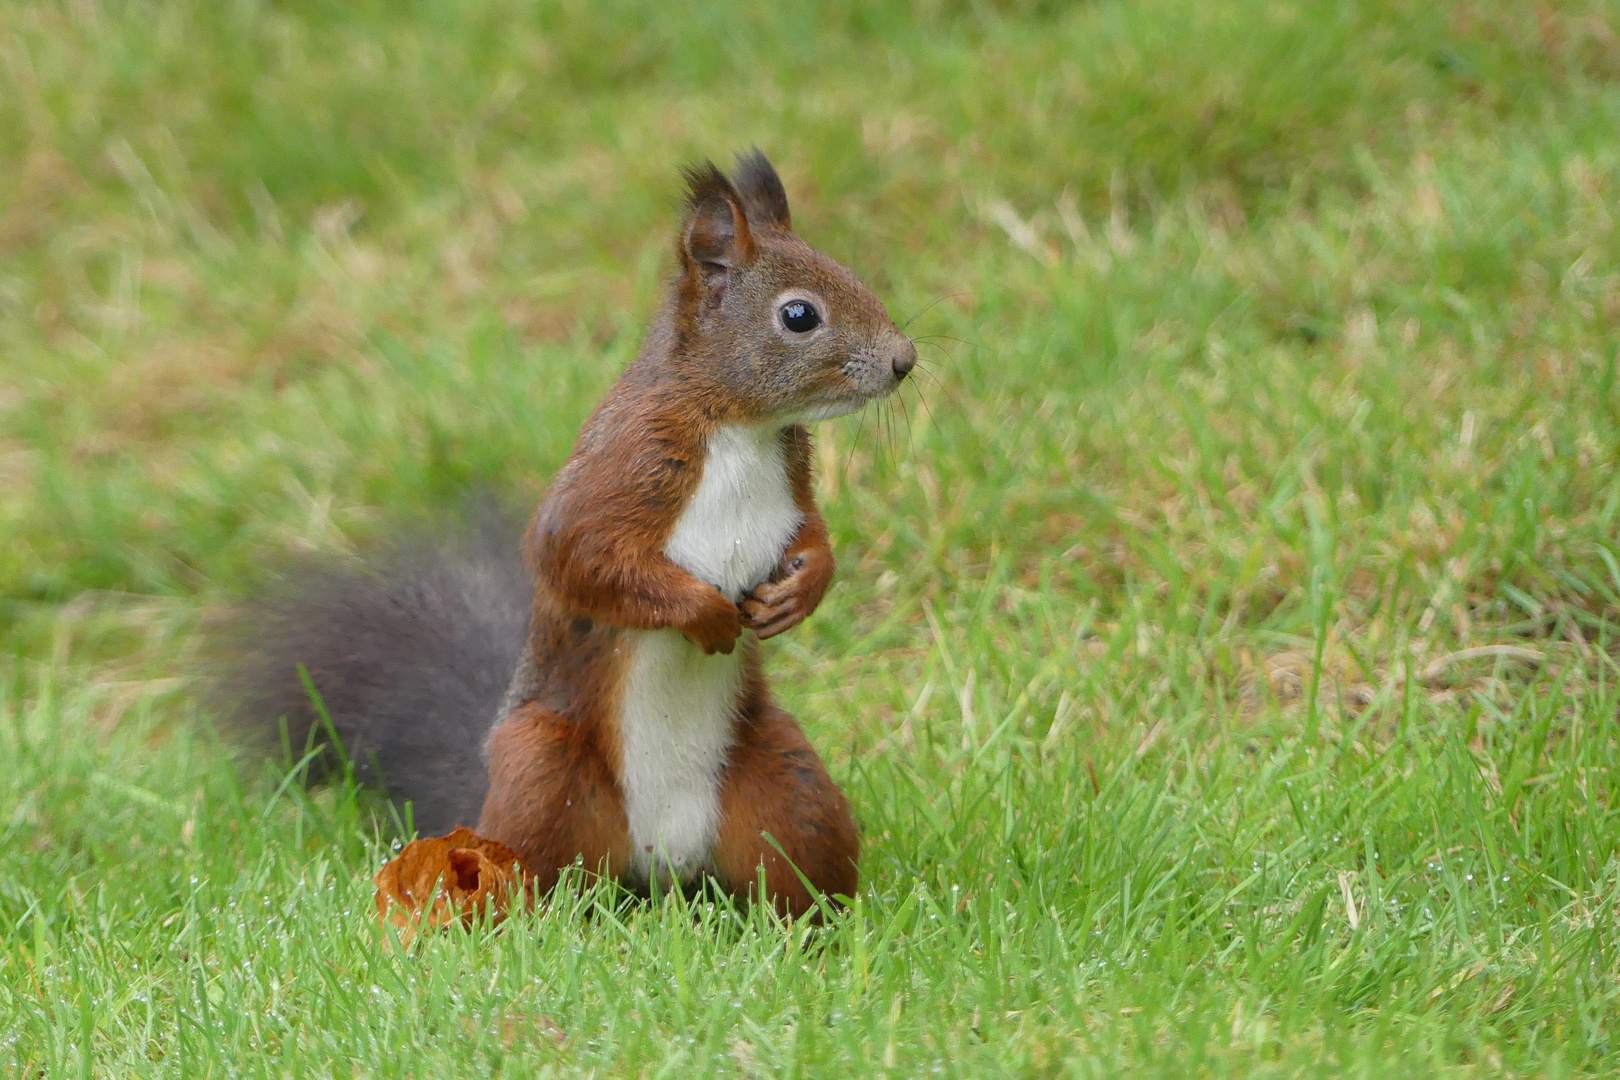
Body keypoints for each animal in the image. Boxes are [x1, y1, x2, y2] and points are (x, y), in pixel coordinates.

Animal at [221, 148, 920, 919]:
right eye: (799, 315)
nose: (904, 360)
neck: (741, 427)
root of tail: (663, 869)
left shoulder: (790, 484)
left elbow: (814, 536)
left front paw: (799, 593)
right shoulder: (618, 473)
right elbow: (579, 559)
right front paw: (705, 614)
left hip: (785, 782)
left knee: (792, 869)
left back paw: (819, 924)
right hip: (544, 777)